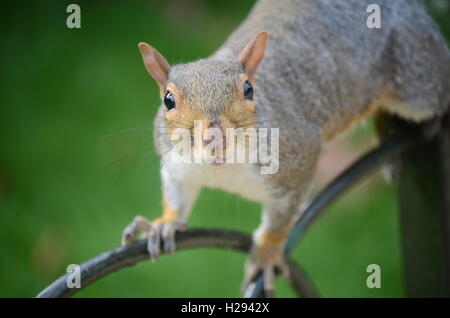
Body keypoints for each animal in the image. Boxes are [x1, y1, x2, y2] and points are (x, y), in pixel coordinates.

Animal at [120, 0, 450, 296]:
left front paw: (266, 253)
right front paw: (163, 225)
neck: (223, 170)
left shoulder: (296, 162)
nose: (214, 137)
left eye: (248, 89)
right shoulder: (177, 167)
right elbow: (177, 197)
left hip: (417, 75)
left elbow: (281, 220)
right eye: (168, 100)